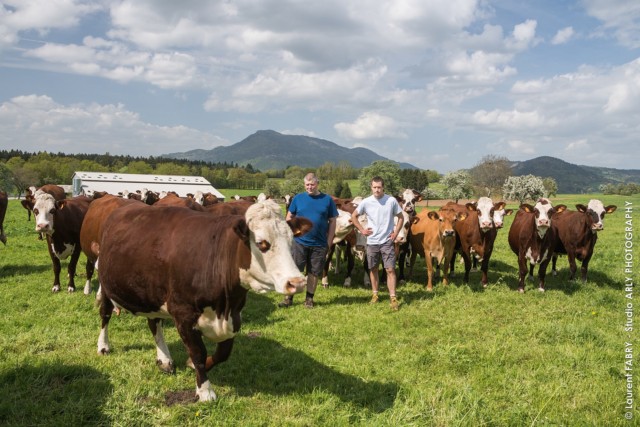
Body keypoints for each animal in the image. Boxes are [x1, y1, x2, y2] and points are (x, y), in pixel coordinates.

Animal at [95, 200, 312, 402]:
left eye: (292, 242)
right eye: (262, 244)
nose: (297, 282)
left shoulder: (234, 316)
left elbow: (223, 353)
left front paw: (194, 365)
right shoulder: (183, 314)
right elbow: (198, 352)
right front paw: (205, 390)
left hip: (152, 293)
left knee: (154, 323)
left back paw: (164, 359)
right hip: (106, 286)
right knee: (105, 315)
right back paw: (103, 346)